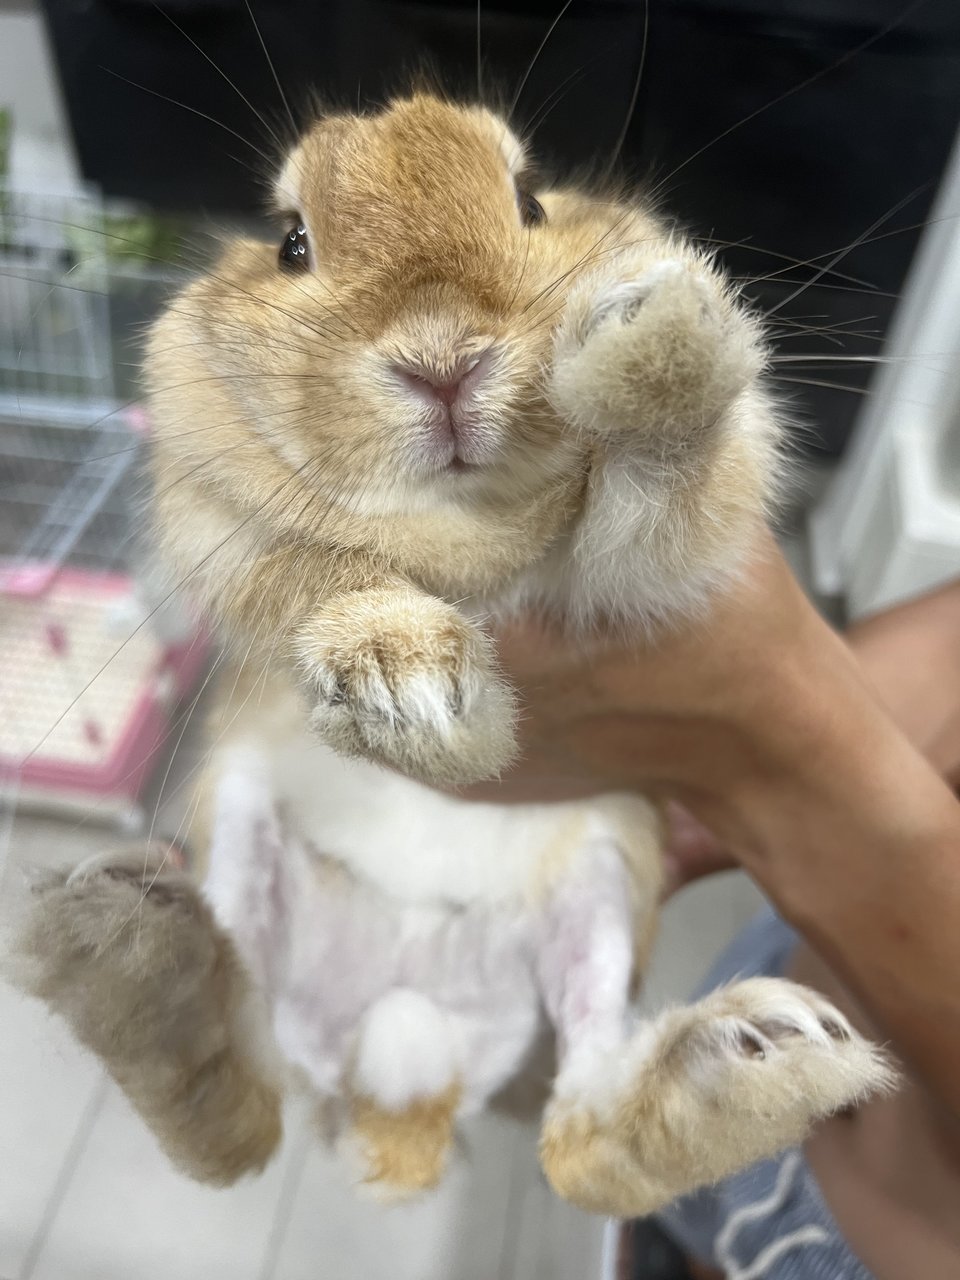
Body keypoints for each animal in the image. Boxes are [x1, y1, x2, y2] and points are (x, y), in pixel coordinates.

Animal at [7, 94, 896, 1213]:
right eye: (291, 243)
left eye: (532, 198)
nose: (442, 361)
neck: (458, 520)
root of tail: (404, 1066)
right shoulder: (228, 535)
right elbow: (315, 575)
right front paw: (410, 686)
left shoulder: (638, 566)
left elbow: (653, 495)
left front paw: (655, 337)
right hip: (235, 812)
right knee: (245, 1100)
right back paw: (128, 956)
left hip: (605, 873)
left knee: (581, 1130)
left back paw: (762, 1061)